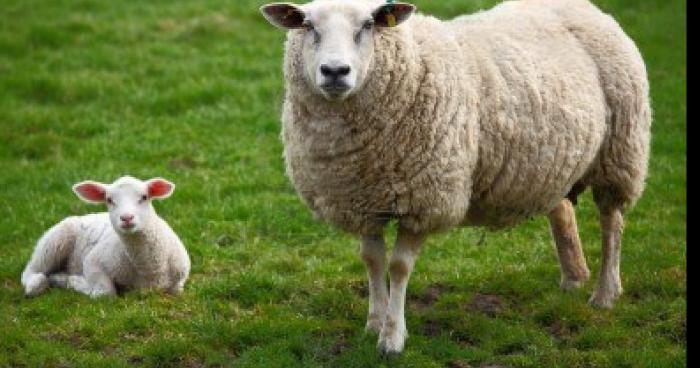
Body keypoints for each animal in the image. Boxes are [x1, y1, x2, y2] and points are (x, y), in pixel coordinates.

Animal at [22, 176, 191, 300]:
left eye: (144, 197)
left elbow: (177, 290)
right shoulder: (93, 261)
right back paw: (39, 284)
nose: (126, 218)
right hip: (53, 242)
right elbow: (105, 293)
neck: (150, 270)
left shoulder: (179, 283)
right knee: (31, 270)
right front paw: (75, 282)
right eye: (109, 200)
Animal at [262, 0, 652, 356]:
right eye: (308, 25)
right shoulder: (361, 200)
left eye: (369, 24)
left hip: (619, 152)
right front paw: (374, 322)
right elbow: (372, 261)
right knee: (562, 211)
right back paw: (573, 278)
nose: (335, 71)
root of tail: (586, 8)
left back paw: (604, 293)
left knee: (611, 222)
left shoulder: (424, 201)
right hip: (553, 160)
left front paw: (392, 338)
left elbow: (399, 267)